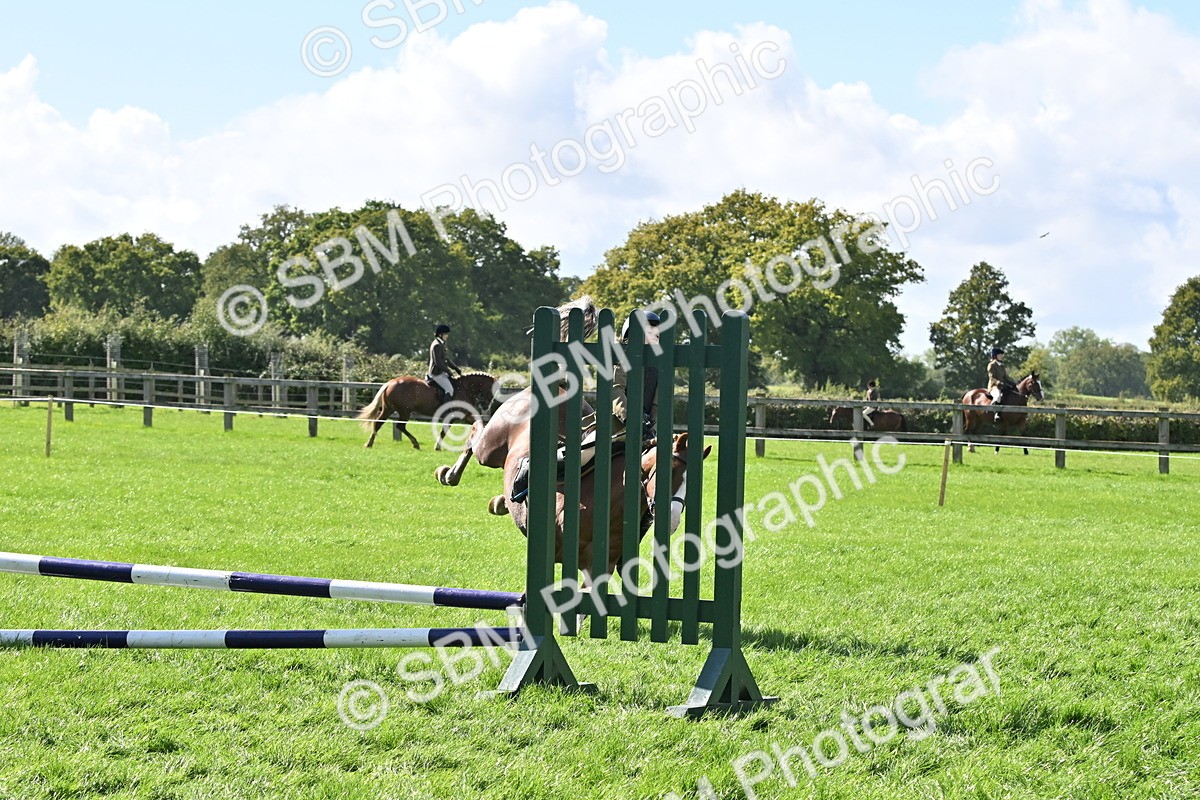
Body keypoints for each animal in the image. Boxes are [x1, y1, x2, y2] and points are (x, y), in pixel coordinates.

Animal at [357, 371, 498, 449]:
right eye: (491, 391)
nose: (486, 406)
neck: (464, 388)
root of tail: (390, 382)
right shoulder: (454, 416)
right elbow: (444, 431)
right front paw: (438, 447)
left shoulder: (466, 415)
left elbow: (479, 424)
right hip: (405, 411)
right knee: (400, 426)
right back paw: (415, 443)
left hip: (389, 409)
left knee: (378, 423)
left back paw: (369, 443)